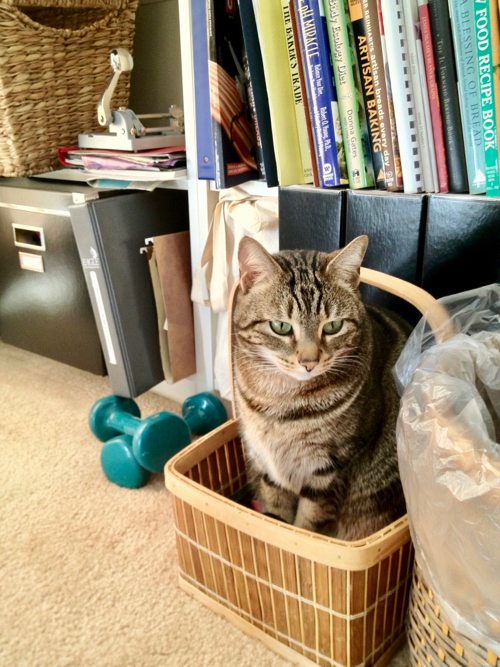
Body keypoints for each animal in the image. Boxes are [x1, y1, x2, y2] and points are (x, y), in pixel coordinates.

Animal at [232, 235, 408, 544]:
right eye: (280, 327)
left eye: (333, 326)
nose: (309, 362)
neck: (280, 399)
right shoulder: (268, 467)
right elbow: (276, 513)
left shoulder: (330, 471)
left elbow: (307, 526)